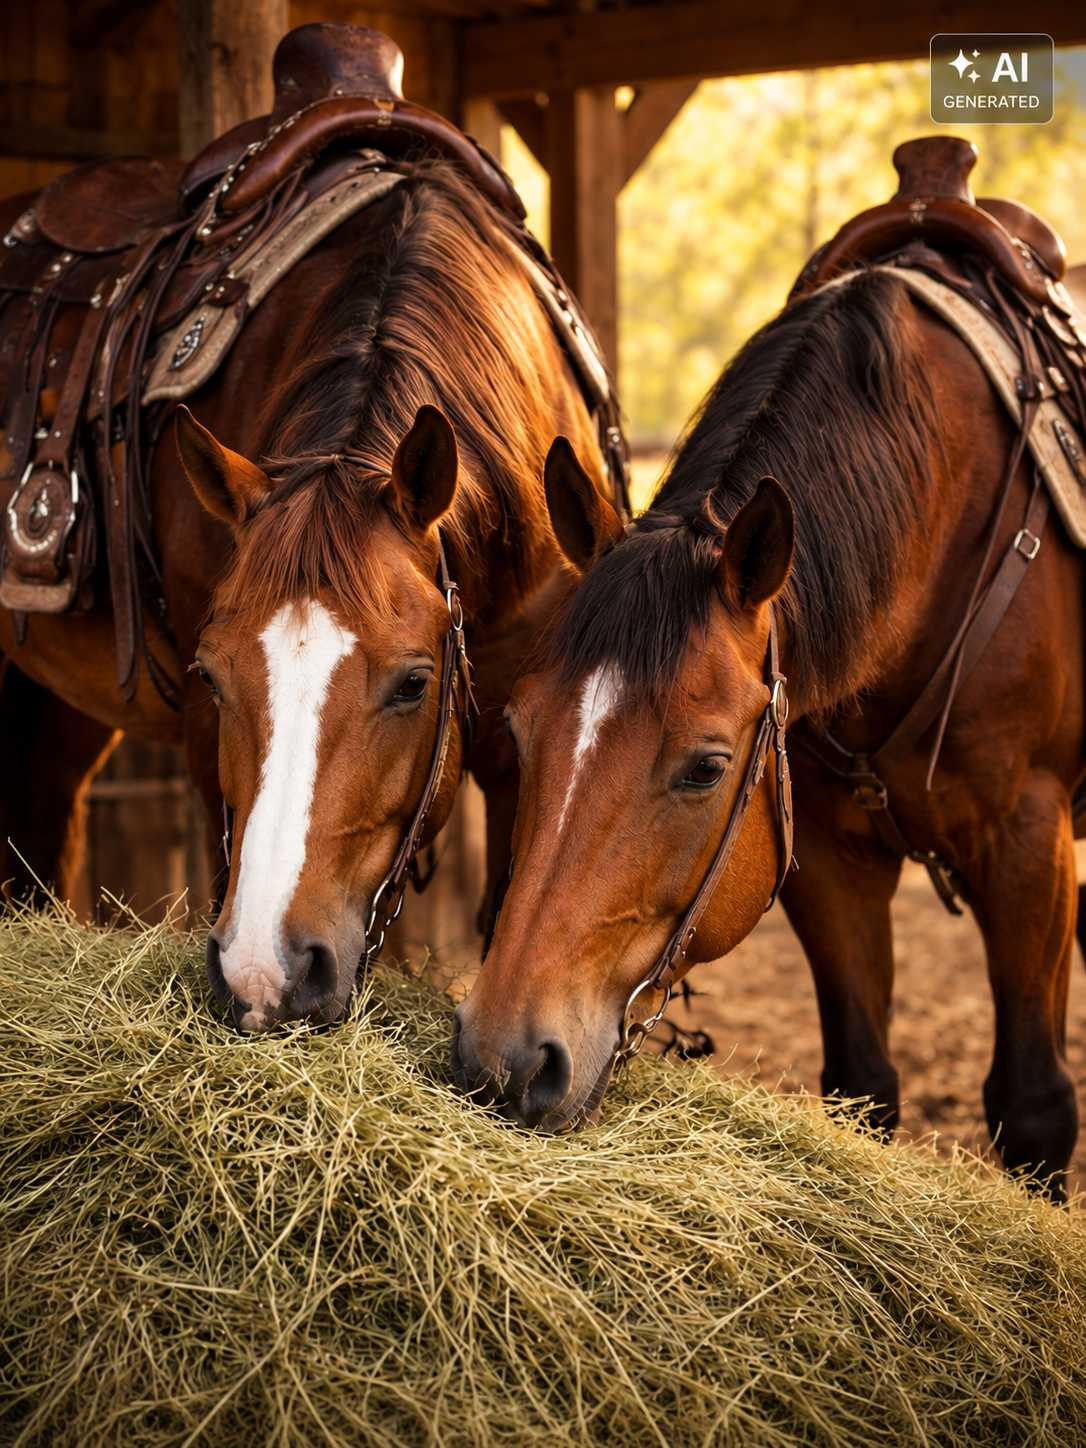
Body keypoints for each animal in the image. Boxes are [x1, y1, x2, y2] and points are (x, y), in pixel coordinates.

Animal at [452, 235, 1086, 1198]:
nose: (505, 1059)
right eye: (521, 735)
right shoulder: (823, 857)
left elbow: (1035, 1106)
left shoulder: (1028, 845)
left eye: (707, 768)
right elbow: (862, 1083)